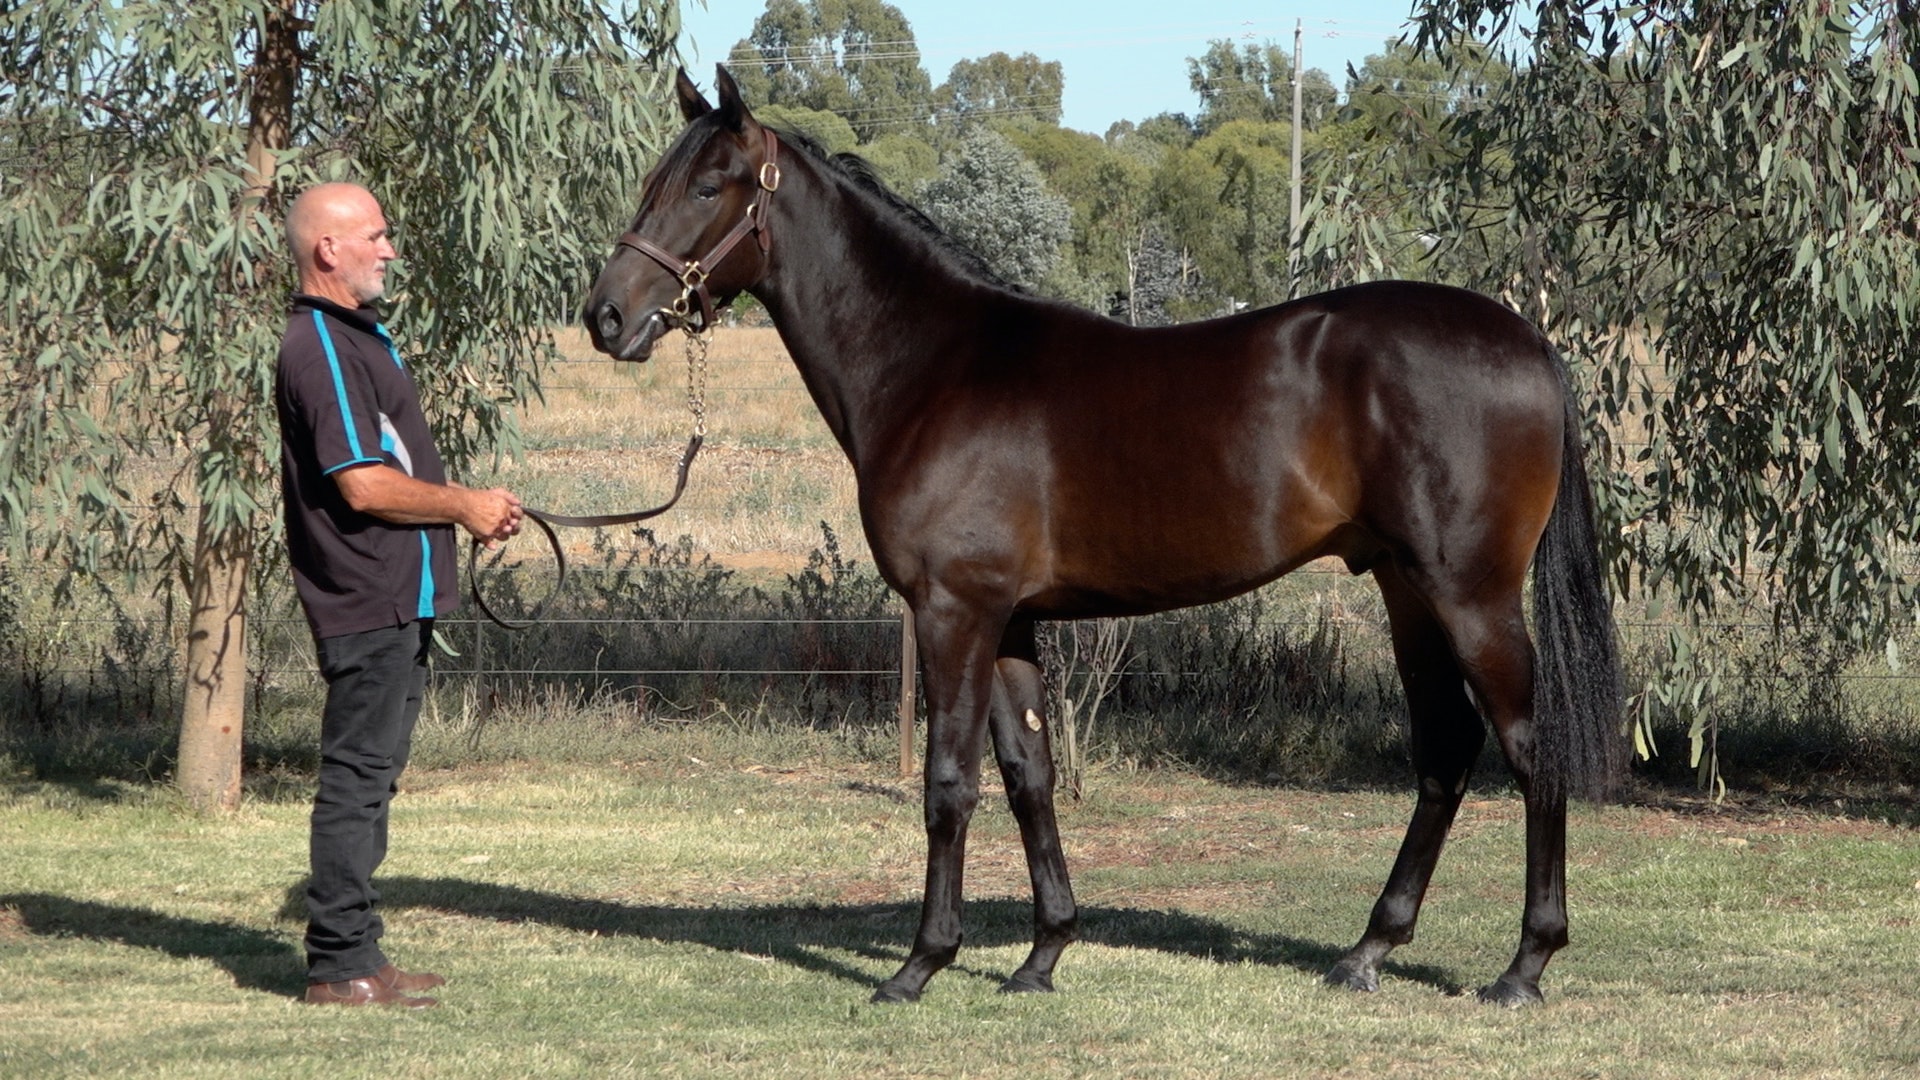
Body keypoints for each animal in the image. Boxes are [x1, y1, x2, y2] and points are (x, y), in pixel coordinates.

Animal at [582, 66, 1625, 1008]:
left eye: (708, 187)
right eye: (654, 182)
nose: (606, 317)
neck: (933, 368)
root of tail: (1532, 343)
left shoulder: (955, 612)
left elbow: (949, 784)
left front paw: (920, 965)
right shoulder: (1009, 621)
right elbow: (1029, 775)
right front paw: (1043, 956)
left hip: (1470, 595)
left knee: (1528, 747)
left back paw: (1524, 967)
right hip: (1406, 589)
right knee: (1445, 749)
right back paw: (1367, 951)